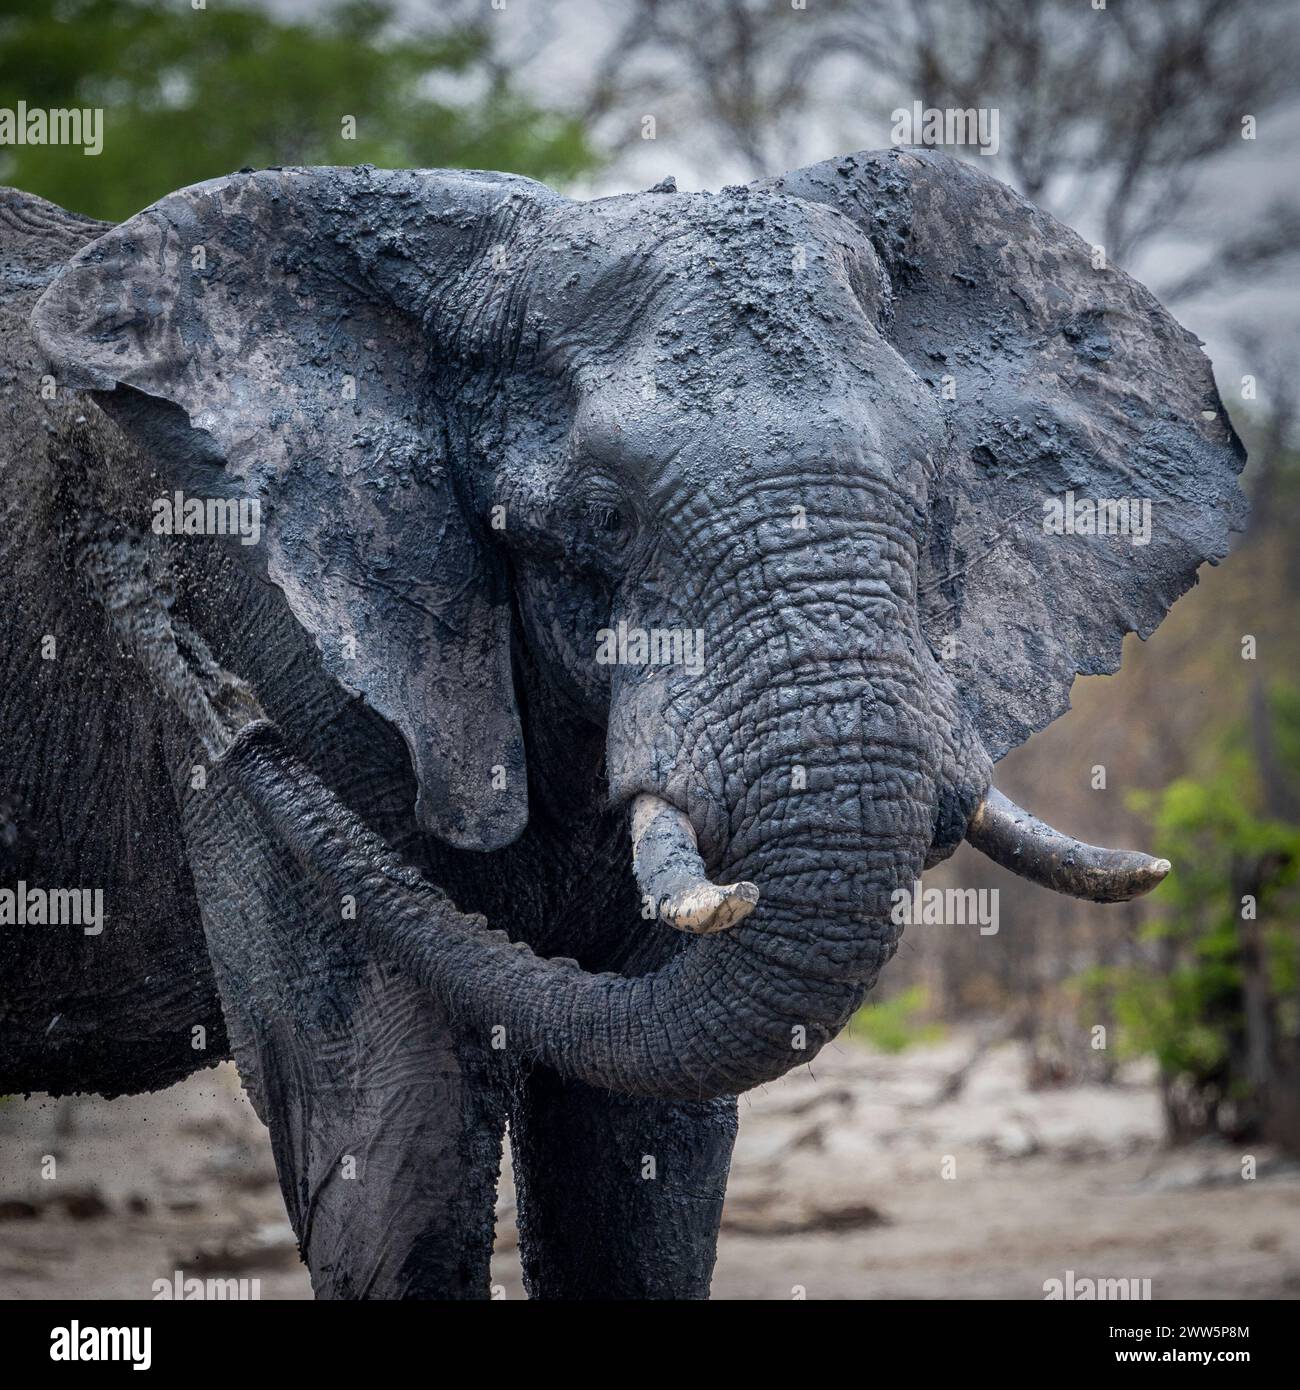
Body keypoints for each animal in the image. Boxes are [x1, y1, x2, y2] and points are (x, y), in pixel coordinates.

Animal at [0, 154, 1245, 1301]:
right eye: (602, 516)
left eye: (937, 490)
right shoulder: (272, 618)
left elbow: (641, 1147)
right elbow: (391, 1129)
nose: (152, 609)